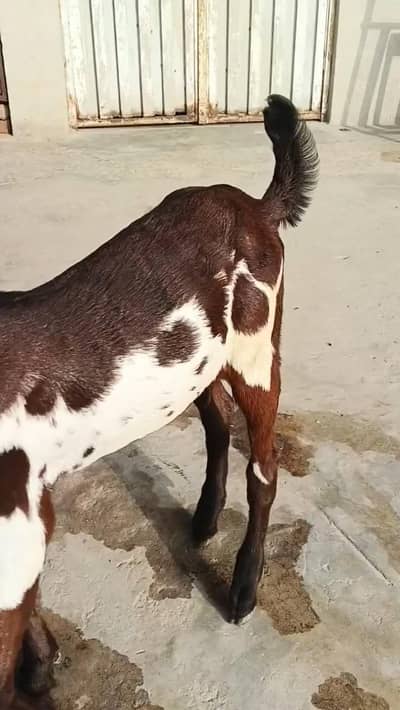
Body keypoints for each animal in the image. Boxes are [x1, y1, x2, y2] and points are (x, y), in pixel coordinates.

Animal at [0, 95, 318, 709]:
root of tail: (256, 208)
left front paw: (37, 672)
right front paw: (43, 665)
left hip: (256, 345)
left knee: (263, 464)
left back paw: (243, 588)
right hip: (199, 363)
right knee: (217, 421)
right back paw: (204, 519)